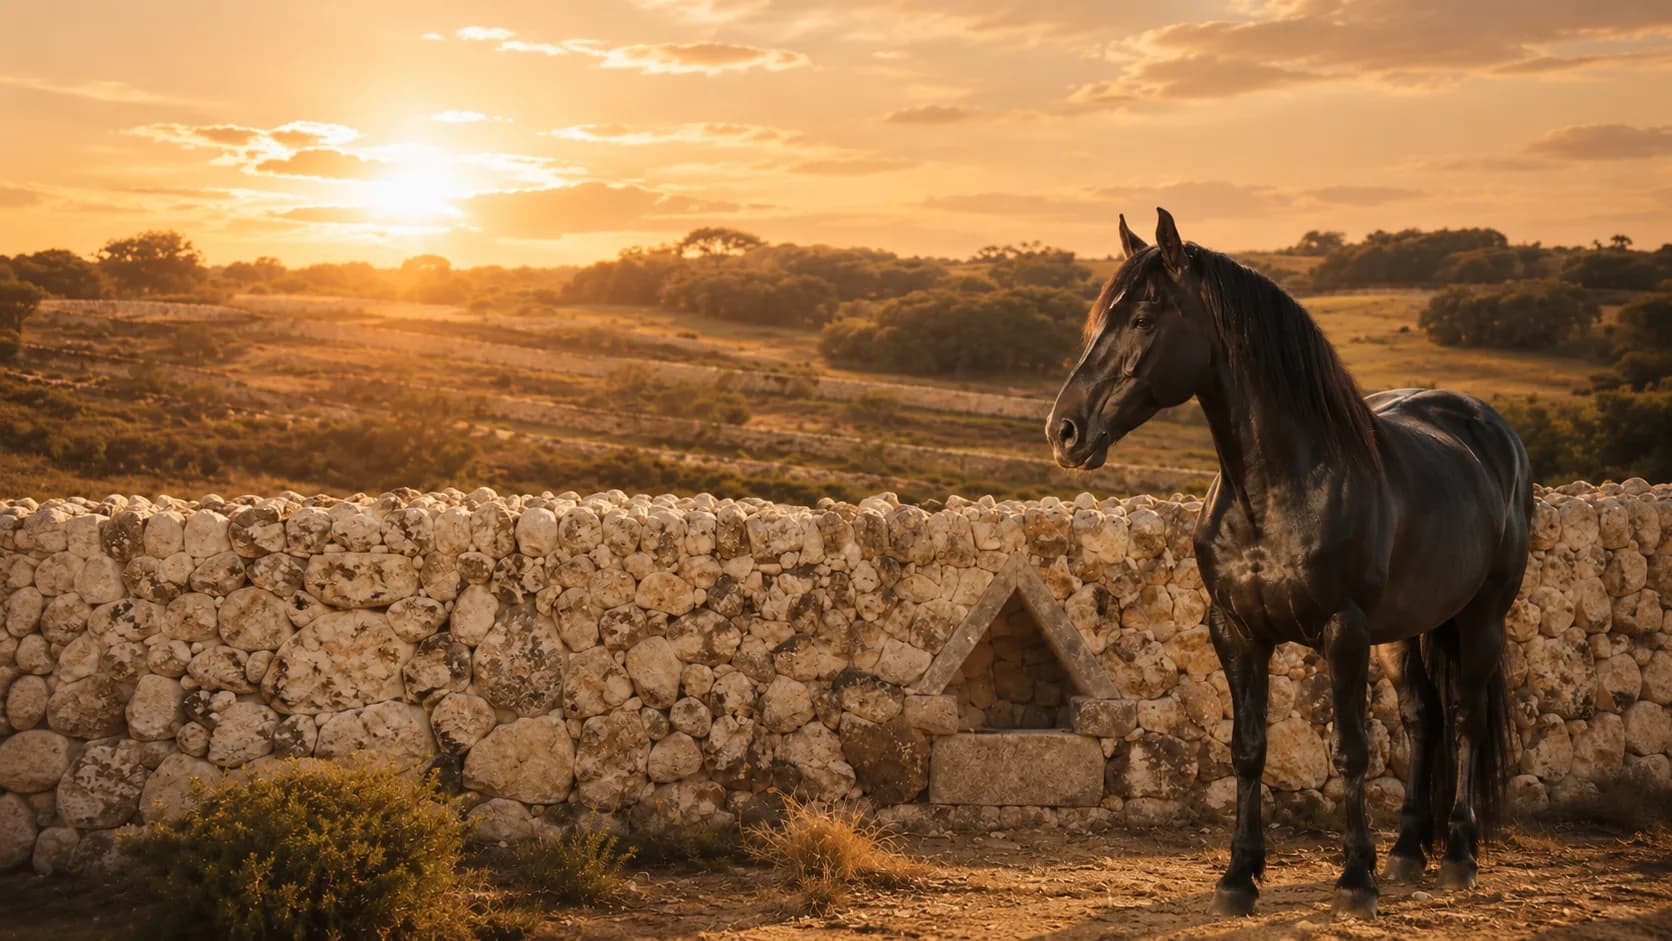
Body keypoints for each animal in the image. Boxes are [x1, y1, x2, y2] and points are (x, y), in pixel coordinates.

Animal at [1047, 209, 1531, 919]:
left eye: (1142, 317)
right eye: (1097, 320)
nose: (1065, 432)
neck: (1278, 491)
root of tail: (1492, 430)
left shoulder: (1343, 629)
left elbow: (1352, 751)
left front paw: (1355, 880)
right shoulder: (1236, 630)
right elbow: (1248, 750)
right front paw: (1238, 877)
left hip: (1481, 618)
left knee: (1466, 718)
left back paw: (1458, 857)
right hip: (1406, 631)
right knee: (1424, 718)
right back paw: (1408, 851)